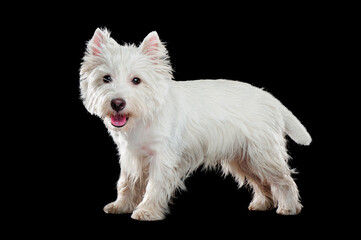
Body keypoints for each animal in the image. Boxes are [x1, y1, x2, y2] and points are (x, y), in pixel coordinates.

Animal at [80, 28, 310, 221]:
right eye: (106, 78)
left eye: (136, 80)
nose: (117, 103)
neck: (145, 116)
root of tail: (269, 98)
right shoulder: (130, 155)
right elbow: (127, 182)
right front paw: (121, 205)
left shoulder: (162, 158)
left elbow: (154, 185)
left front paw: (147, 211)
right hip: (244, 157)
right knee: (262, 181)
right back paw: (263, 203)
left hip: (261, 154)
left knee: (283, 179)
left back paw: (288, 207)